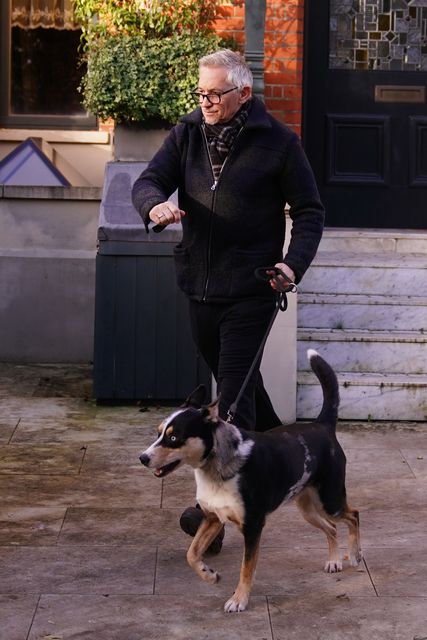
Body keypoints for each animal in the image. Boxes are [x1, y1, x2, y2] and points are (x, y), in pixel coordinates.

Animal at [140, 352, 362, 612]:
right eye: (159, 433)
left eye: (174, 438)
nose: (143, 458)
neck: (218, 467)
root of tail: (322, 425)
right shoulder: (213, 518)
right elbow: (191, 554)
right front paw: (209, 574)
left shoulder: (253, 527)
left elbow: (246, 569)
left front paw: (239, 600)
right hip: (308, 508)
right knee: (332, 527)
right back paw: (334, 561)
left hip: (330, 501)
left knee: (353, 515)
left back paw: (354, 555)